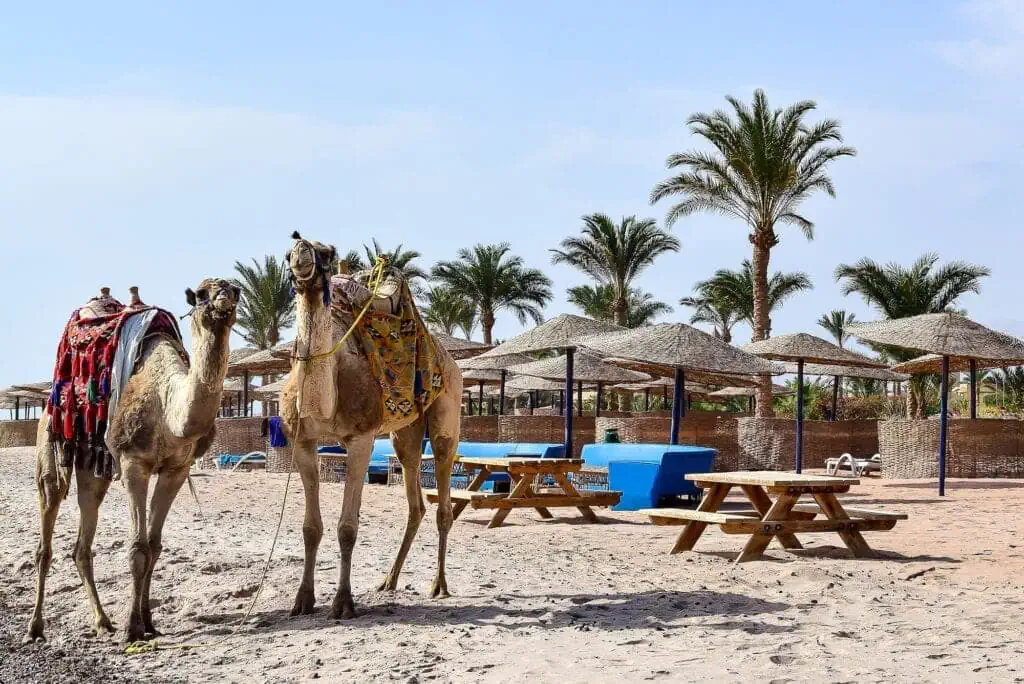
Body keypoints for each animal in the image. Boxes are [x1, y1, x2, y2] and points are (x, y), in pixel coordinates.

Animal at [24, 279, 239, 644]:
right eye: (200, 294)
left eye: (236, 290)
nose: (224, 293)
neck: (168, 407)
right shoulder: (133, 463)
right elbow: (138, 548)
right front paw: (133, 627)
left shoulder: (176, 469)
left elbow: (154, 546)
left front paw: (148, 622)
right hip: (51, 445)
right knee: (47, 528)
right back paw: (35, 628)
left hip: (93, 468)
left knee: (82, 544)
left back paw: (102, 622)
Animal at [280, 233, 462, 619]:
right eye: (287, 253)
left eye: (326, 253)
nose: (302, 252)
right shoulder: (302, 442)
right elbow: (310, 528)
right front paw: (303, 600)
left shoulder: (360, 439)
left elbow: (347, 527)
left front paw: (343, 603)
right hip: (405, 433)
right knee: (415, 499)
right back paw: (388, 581)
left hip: (447, 412)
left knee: (443, 499)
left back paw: (438, 585)